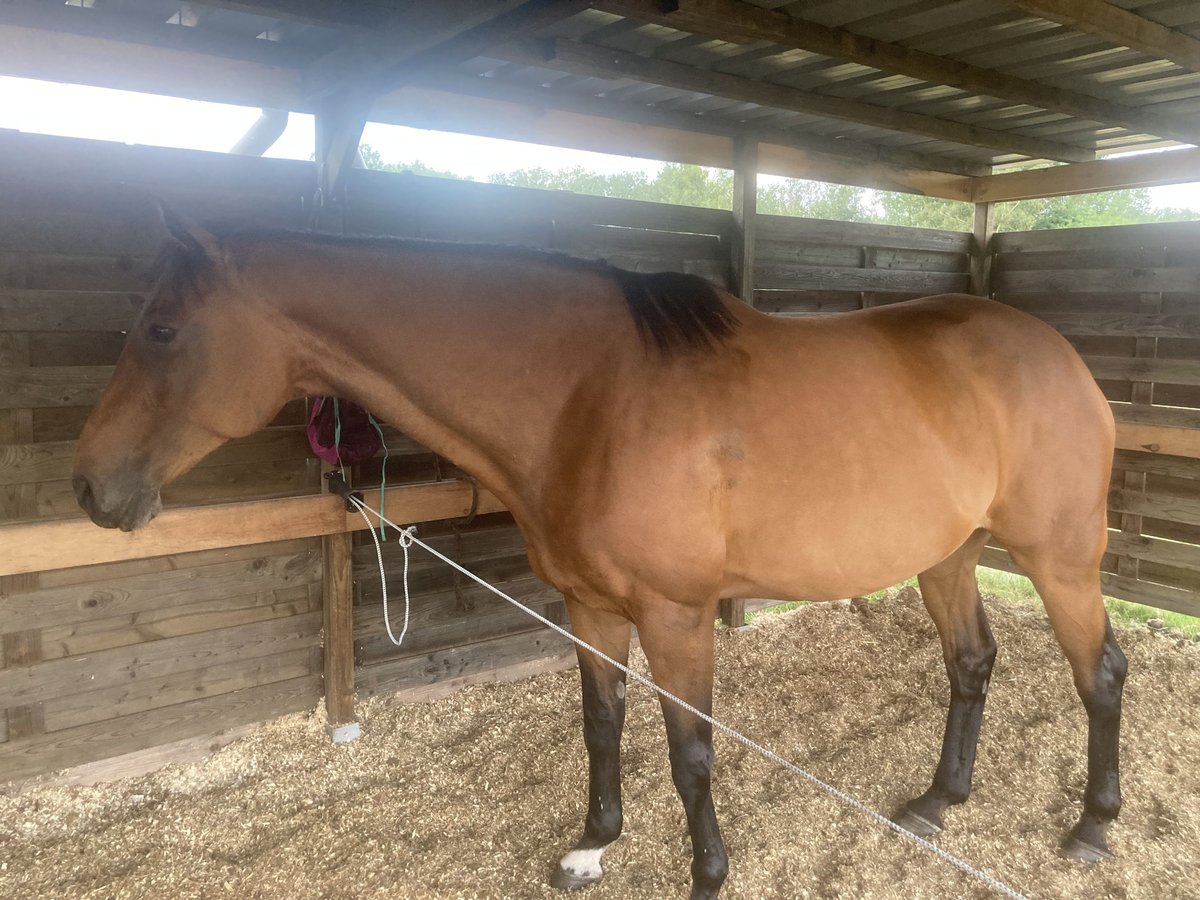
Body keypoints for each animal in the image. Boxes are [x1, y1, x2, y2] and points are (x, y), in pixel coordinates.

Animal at [72, 213, 1123, 900]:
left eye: (162, 328)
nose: (89, 488)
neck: (590, 397)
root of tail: (1061, 356)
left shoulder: (676, 614)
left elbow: (691, 751)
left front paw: (707, 876)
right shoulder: (589, 607)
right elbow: (602, 726)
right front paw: (591, 848)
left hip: (1061, 559)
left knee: (1100, 672)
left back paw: (1091, 826)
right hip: (948, 555)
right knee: (972, 663)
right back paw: (940, 803)